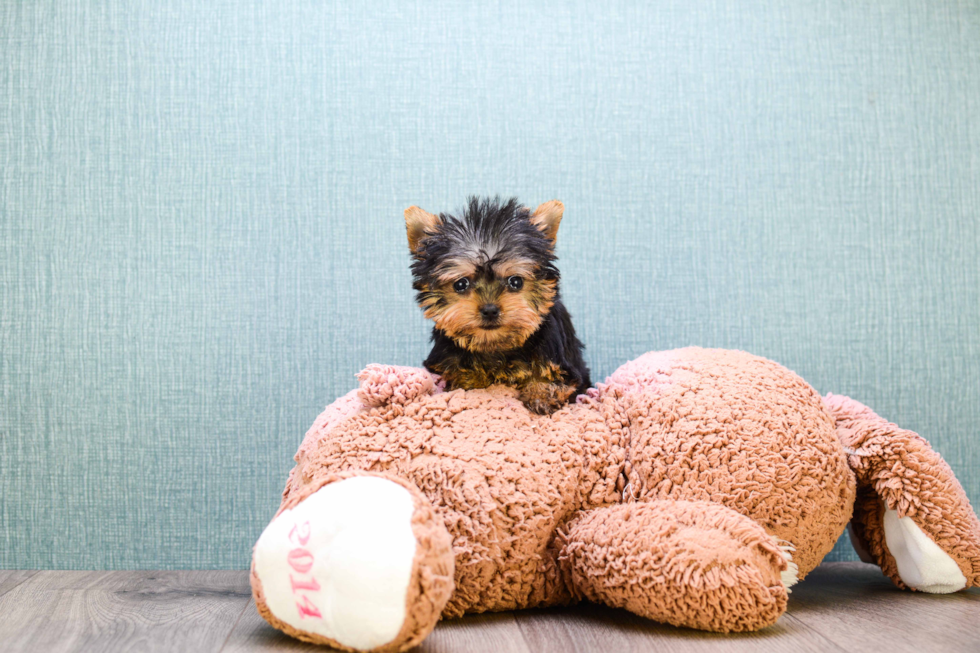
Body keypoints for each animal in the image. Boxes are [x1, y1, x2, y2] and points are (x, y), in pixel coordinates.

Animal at [404, 196, 588, 416]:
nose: (490, 310)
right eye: (460, 284)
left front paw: (540, 395)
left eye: (515, 281)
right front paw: (470, 379)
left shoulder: (561, 360)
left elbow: (552, 377)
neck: (495, 346)